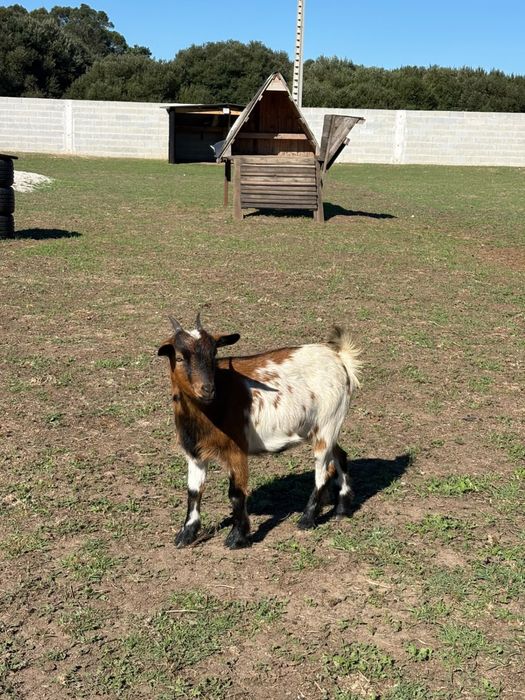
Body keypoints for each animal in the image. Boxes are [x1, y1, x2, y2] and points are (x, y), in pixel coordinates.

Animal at [158, 314, 361, 549]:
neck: (212, 408)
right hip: (326, 427)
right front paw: (186, 535)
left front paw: (237, 537)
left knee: (324, 469)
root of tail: (340, 358)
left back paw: (307, 519)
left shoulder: (236, 449)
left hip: (327, 423)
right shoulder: (194, 452)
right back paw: (342, 508)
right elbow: (193, 492)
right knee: (341, 455)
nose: (207, 389)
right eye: (180, 358)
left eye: (214, 354)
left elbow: (236, 493)